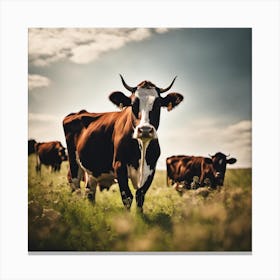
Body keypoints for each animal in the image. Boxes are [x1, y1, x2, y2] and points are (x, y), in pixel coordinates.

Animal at [62, 74, 184, 210]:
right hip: (73, 162)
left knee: (89, 191)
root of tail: (79, 112)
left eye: (158, 105)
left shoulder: (151, 169)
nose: (145, 130)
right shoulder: (119, 166)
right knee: (75, 186)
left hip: (92, 171)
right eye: (133, 104)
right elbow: (128, 197)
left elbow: (140, 196)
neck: (141, 150)